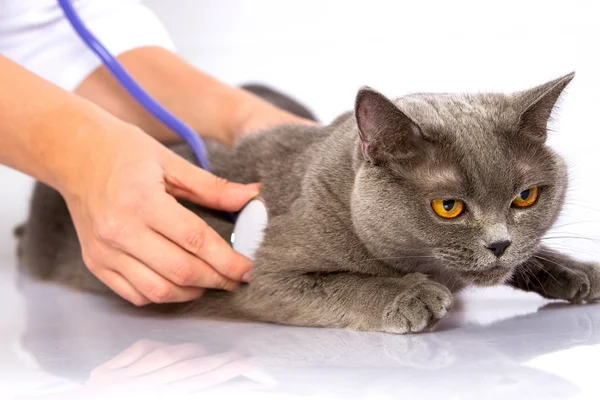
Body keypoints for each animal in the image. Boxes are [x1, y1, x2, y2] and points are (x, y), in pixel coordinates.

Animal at [15, 74, 600, 334]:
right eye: (449, 207)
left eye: (526, 197)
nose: (499, 243)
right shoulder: (261, 278)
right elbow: (340, 283)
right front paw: (409, 295)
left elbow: (532, 256)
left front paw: (576, 271)